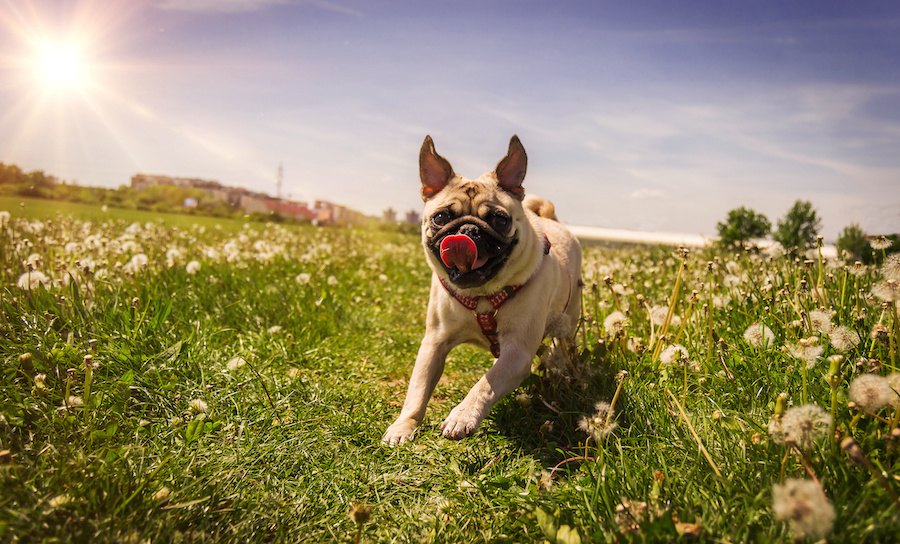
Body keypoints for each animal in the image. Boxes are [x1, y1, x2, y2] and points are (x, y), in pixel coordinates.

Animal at [382, 134, 584, 444]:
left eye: (499, 220)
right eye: (440, 218)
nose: (467, 230)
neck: (481, 297)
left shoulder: (516, 352)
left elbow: (485, 384)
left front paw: (463, 415)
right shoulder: (434, 344)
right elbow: (417, 391)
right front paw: (404, 425)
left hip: (568, 322)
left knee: (563, 345)